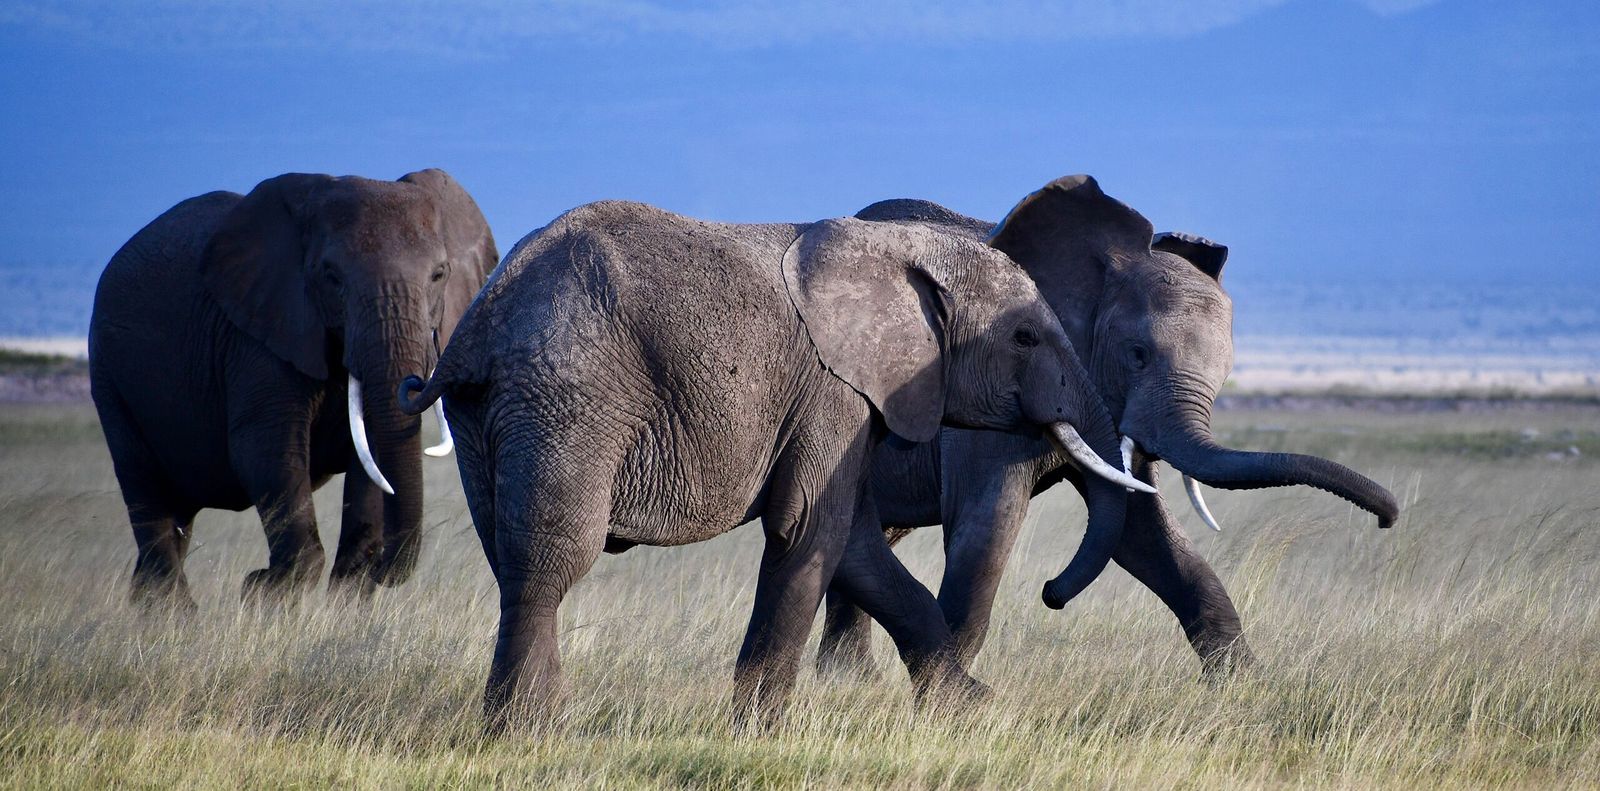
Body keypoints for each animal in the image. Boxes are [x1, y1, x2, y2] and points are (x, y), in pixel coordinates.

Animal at [88, 168, 497, 608]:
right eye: (332, 277)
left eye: (439, 274)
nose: (381, 565)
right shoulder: (256, 336)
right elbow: (265, 449)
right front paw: (261, 592)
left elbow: (369, 455)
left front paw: (344, 598)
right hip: (109, 375)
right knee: (146, 490)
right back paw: (171, 613)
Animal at [396, 200, 1153, 728]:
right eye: (1024, 337)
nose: (1052, 594)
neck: (898, 248)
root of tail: (479, 323)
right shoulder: (831, 388)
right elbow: (810, 530)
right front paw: (764, 730)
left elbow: (856, 545)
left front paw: (970, 709)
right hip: (567, 397)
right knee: (549, 558)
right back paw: (529, 730)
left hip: (487, 413)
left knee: (508, 552)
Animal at [816, 175, 1400, 677]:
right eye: (1137, 355)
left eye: (1225, 371)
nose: (1388, 519)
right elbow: (987, 527)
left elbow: (1145, 532)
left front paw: (1246, 688)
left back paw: (848, 680)